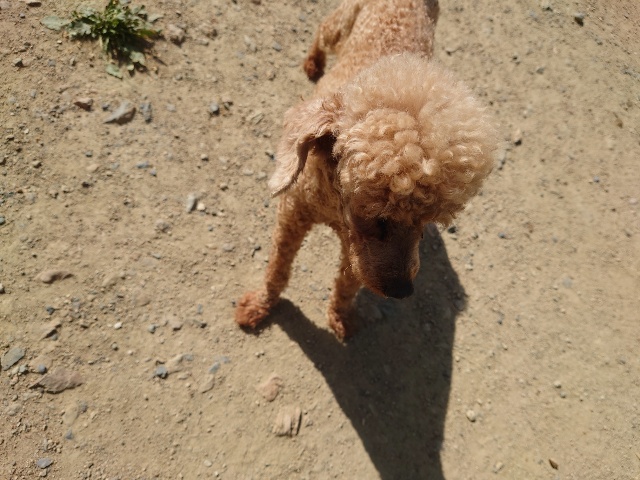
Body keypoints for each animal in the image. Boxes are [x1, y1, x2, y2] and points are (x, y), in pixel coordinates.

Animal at [235, 0, 498, 339]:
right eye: (378, 217)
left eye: (425, 223)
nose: (402, 291)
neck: (333, 206)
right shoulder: (292, 214)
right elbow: (277, 268)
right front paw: (260, 304)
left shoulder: (357, 249)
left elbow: (349, 283)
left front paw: (341, 317)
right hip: (341, 24)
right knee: (323, 31)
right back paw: (313, 62)